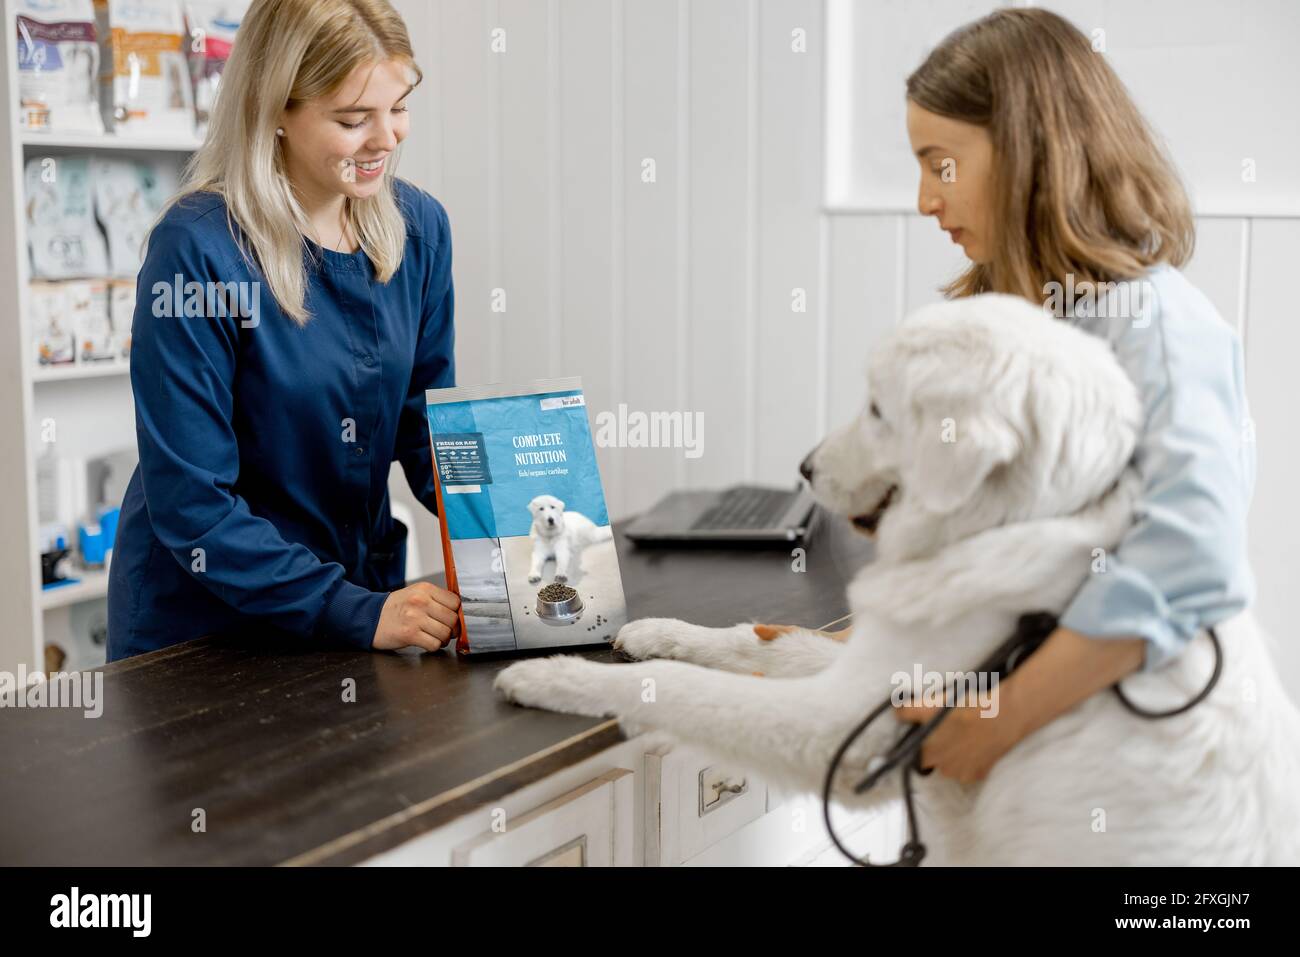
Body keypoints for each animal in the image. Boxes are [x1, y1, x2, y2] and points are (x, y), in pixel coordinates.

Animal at [496, 293, 1300, 868]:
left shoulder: (841, 731)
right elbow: (758, 640)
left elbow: (687, 690)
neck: (1015, 524)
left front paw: (554, 675)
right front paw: (654, 630)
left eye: (880, 409)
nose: (804, 467)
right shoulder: (868, 672)